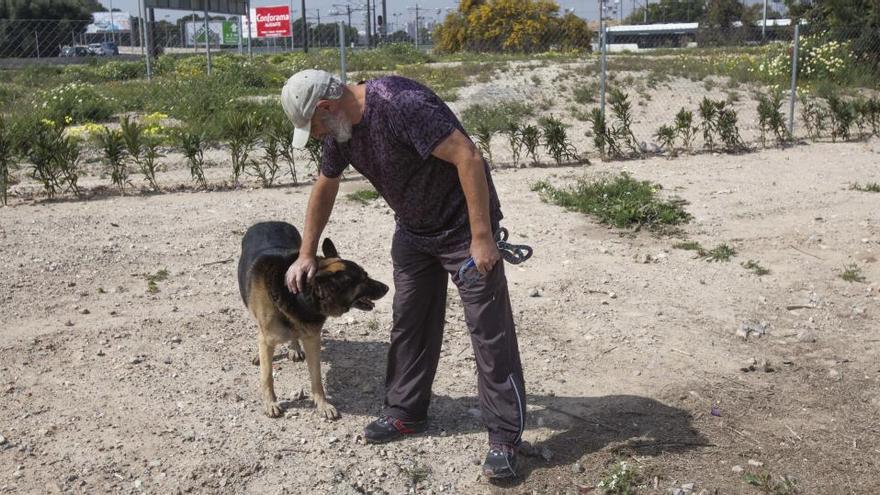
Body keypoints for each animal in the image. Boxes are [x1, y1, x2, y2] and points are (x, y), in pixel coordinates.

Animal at [237, 223, 388, 420]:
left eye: (366, 275)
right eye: (362, 279)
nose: (387, 287)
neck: (299, 297)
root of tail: (268, 222)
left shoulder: (312, 339)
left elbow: (316, 377)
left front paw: (323, 404)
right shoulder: (268, 338)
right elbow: (267, 375)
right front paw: (270, 402)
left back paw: (294, 348)